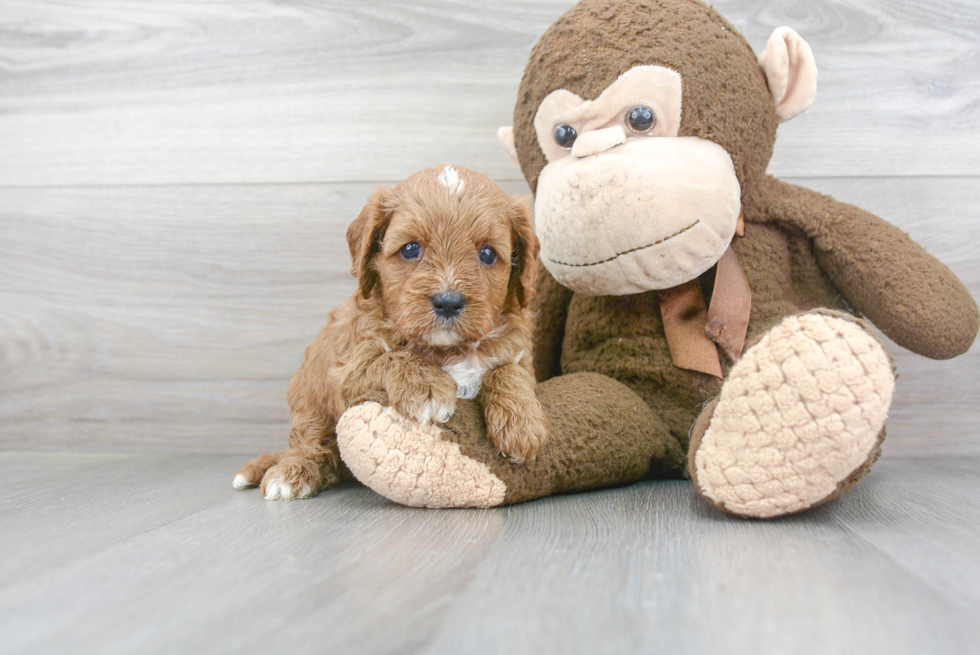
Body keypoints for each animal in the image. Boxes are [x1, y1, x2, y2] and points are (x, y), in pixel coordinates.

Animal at [234, 165, 548, 502]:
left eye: (488, 254)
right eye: (411, 249)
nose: (448, 302)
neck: (447, 349)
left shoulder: (517, 350)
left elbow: (508, 370)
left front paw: (523, 423)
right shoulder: (347, 371)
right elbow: (392, 358)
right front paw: (427, 387)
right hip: (309, 399)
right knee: (311, 443)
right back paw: (293, 472)